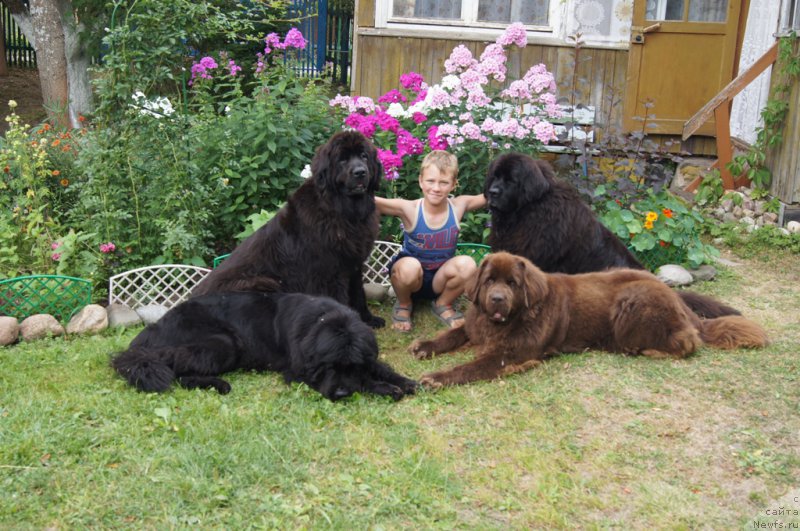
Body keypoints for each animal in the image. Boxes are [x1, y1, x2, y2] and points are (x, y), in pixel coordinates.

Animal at [112, 294, 418, 402]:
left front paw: (405, 380)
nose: (341, 393)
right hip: (224, 342)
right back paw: (219, 384)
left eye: (351, 365)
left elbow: (378, 366)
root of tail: (151, 331)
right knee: (176, 366)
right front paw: (385, 388)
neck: (323, 320)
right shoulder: (298, 371)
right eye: (329, 367)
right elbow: (366, 379)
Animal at [191, 131, 384, 326]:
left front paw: (368, 320)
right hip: (262, 282)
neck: (345, 213)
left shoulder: (353, 265)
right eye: (342, 159)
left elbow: (359, 294)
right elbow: (338, 301)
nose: (360, 172)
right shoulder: (328, 273)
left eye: (363, 156)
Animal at [412, 251, 768, 388]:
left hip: (632, 304)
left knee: (687, 341)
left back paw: (648, 350)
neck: (507, 319)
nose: (497, 299)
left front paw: (437, 378)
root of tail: (676, 296)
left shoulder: (511, 353)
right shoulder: (477, 326)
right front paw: (425, 346)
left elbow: (470, 367)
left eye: (512, 283)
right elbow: (454, 334)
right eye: (489, 282)